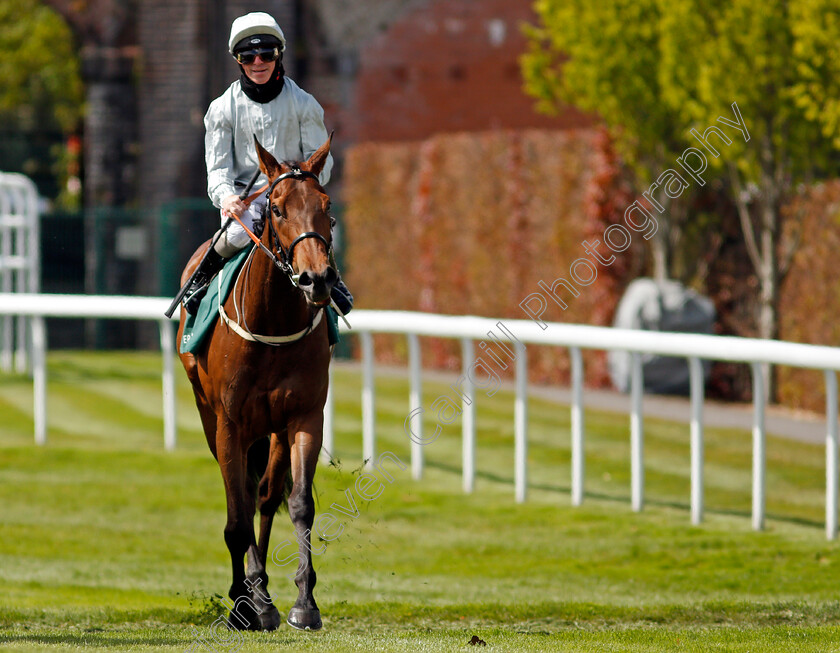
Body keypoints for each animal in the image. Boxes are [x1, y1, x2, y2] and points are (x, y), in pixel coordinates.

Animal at [176, 135, 336, 628]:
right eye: (278, 208)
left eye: (327, 206)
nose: (316, 279)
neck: (274, 324)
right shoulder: (230, 421)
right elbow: (236, 516)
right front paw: (243, 603)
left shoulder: (304, 415)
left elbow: (298, 504)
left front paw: (304, 602)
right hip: (211, 417)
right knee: (244, 498)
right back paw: (249, 593)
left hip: (272, 429)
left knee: (264, 495)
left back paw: (262, 589)